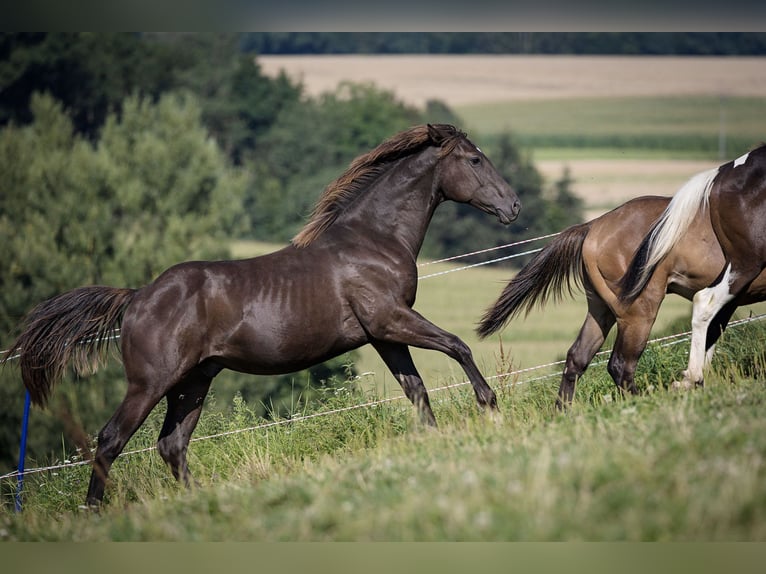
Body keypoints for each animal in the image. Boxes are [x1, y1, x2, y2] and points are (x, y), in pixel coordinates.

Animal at [3, 124, 520, 506]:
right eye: (474, 160)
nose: (514, 205)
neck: (373, 239)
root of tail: (137, 297)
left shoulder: (384, 335)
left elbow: (417, 391)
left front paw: (435, 442)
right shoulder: (390, 320)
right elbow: (458, 345)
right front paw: (490, 406)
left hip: (193, 382)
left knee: (172, 445)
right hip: (149, 382)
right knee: (111, 439)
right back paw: (95, 512)